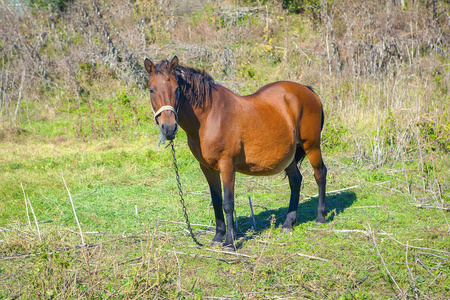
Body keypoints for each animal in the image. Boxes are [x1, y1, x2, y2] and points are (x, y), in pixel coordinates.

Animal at [144, 56, 326, 251]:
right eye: (151, 89)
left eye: (177, 89)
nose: (169, 128)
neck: (209, 116)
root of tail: (307, 91)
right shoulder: (207, 168)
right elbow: (216, 201)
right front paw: (218, 237)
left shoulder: (227, 165)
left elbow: (228, 203)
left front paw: (229, 243)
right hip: (289, 155)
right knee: (295, 180)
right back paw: (288, 223)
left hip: (311, 145)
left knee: (320, 174)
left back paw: (320, 218)